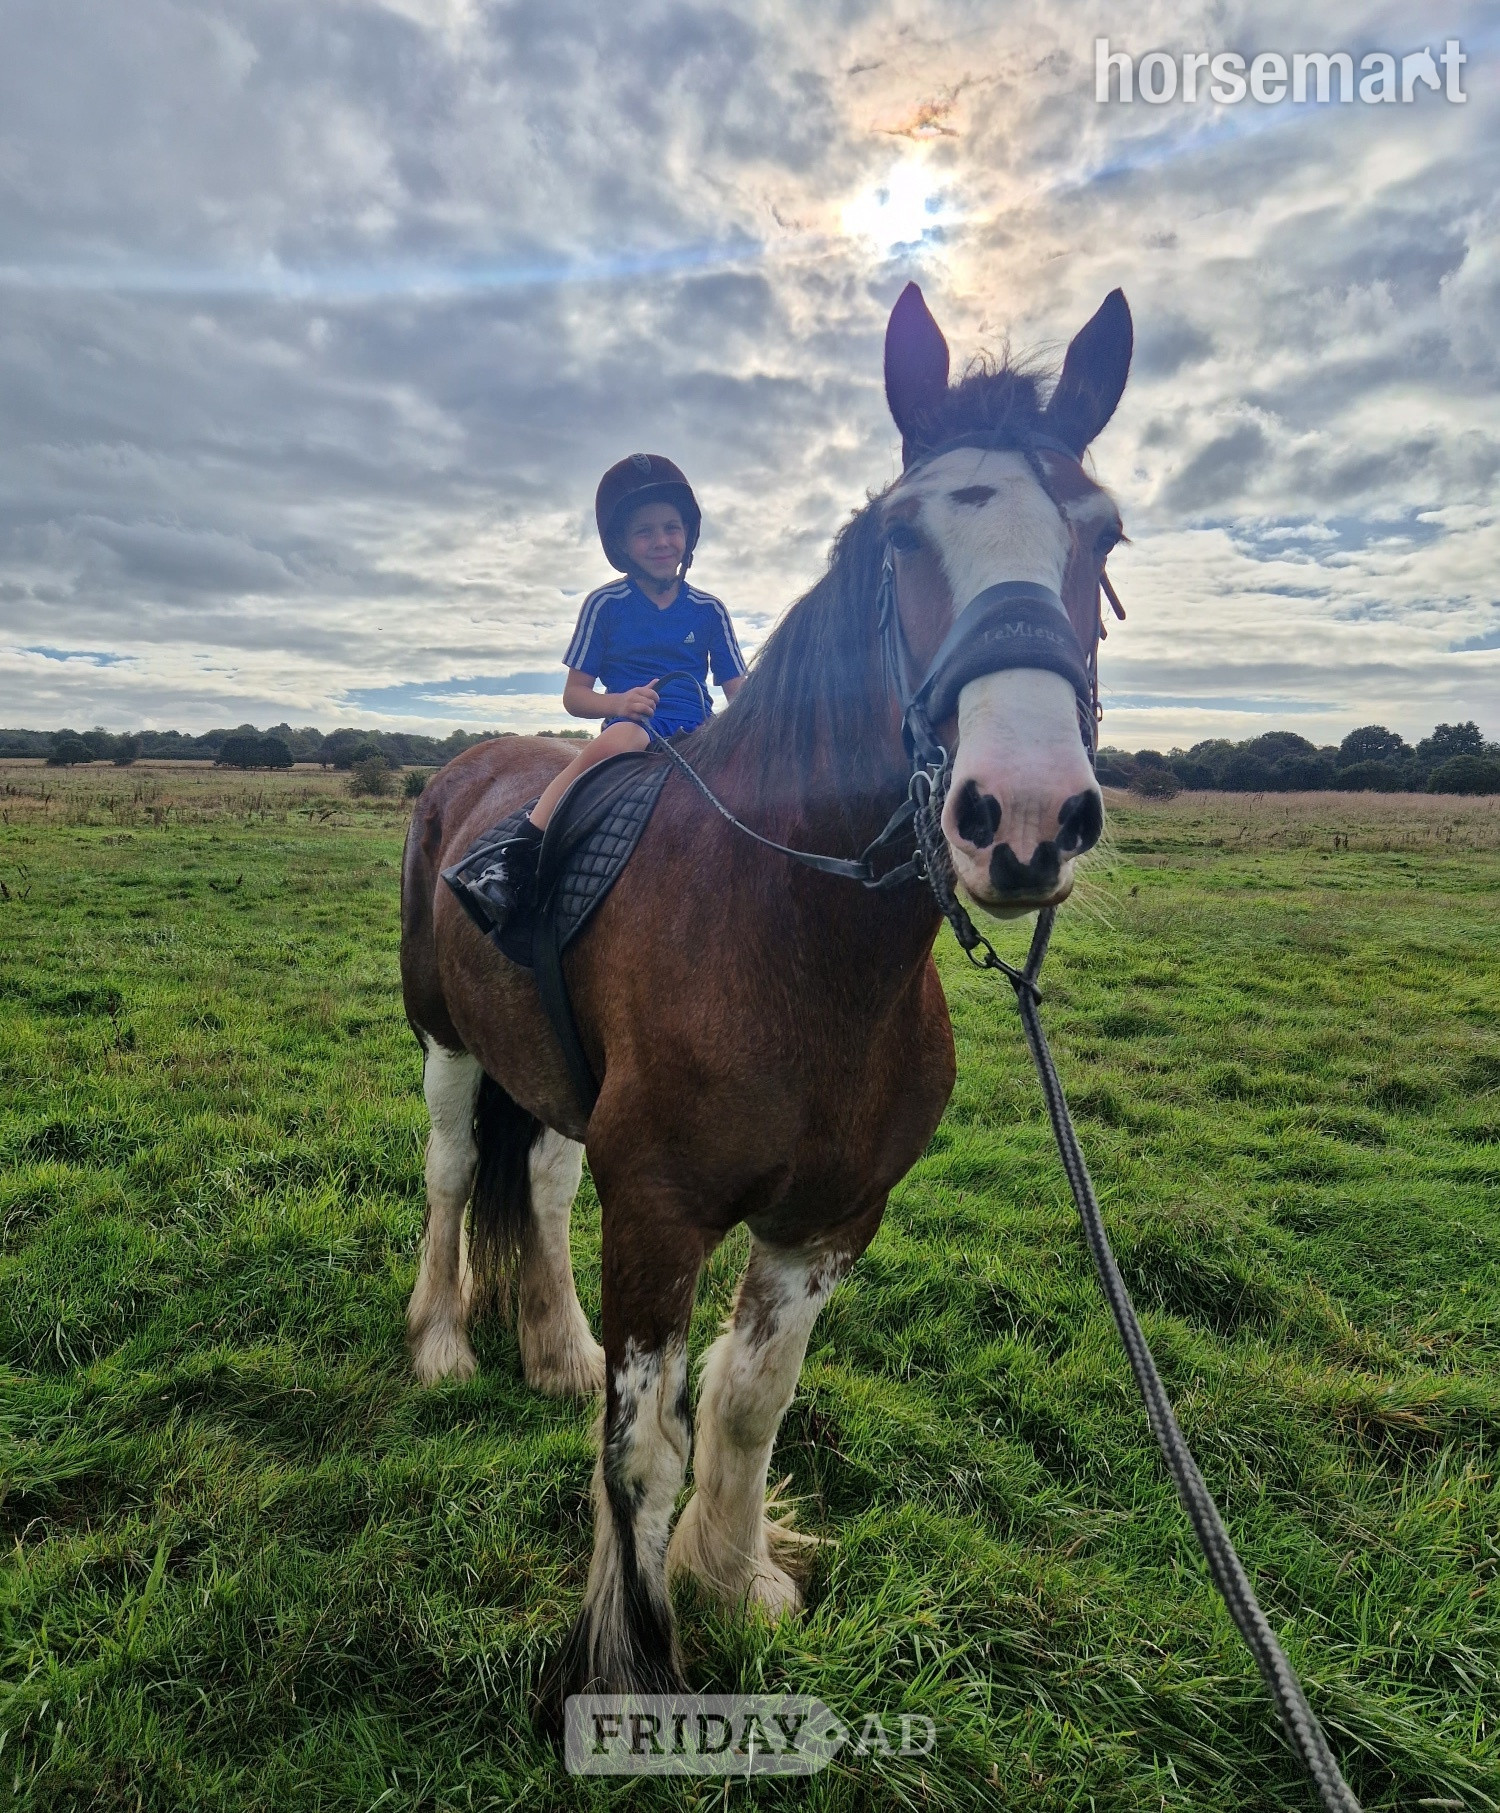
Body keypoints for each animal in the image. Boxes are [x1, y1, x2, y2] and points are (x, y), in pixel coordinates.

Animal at [399, 279, 1133, 1704]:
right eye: (903, 535)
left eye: (1103, 530)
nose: (1024, 817)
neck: (800, 942)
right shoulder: (663, 1209)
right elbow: (642, 1449)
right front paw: (636, 1658)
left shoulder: (831, 1218)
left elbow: (747, 1401)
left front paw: (733, 1580)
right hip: (448, 1041)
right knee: (456, 1178)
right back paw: (445, 1343)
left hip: (557, 1089)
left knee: (544, 1190)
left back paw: (554, 1347)